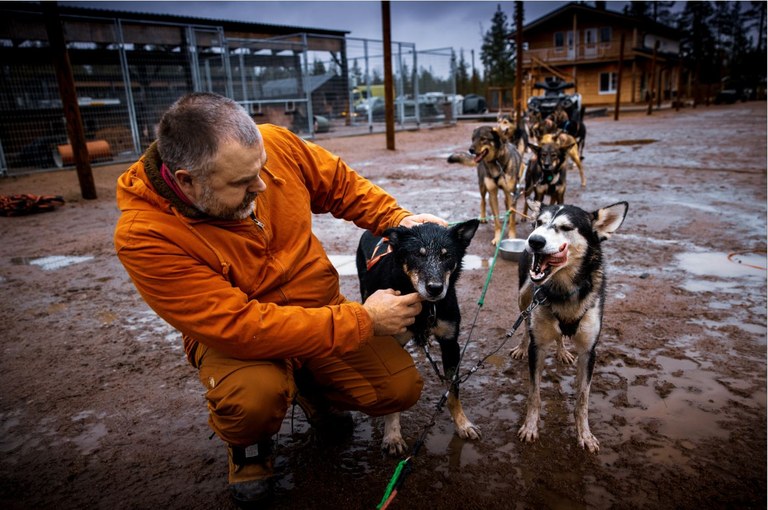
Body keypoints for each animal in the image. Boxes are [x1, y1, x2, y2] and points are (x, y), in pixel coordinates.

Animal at [356, 219, 480, 454]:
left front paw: (463, 423)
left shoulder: (451, 343)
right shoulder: (393, 341)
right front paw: (393, 436)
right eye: (417, 254)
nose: (435, 289)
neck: (425, 307)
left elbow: (453, 391)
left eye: (446, 256)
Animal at [512, 201, 628, 452]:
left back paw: (563, 351)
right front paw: (530, 426)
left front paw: (585, 434)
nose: (534, 241)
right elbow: (534, 395)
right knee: (524, 322)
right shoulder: (538, 347)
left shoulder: (589, 352)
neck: (564, 291)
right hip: (524, 296)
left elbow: (582, 399)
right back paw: (521, 346)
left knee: (559, 336)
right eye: (540, 223)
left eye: (566, 228)